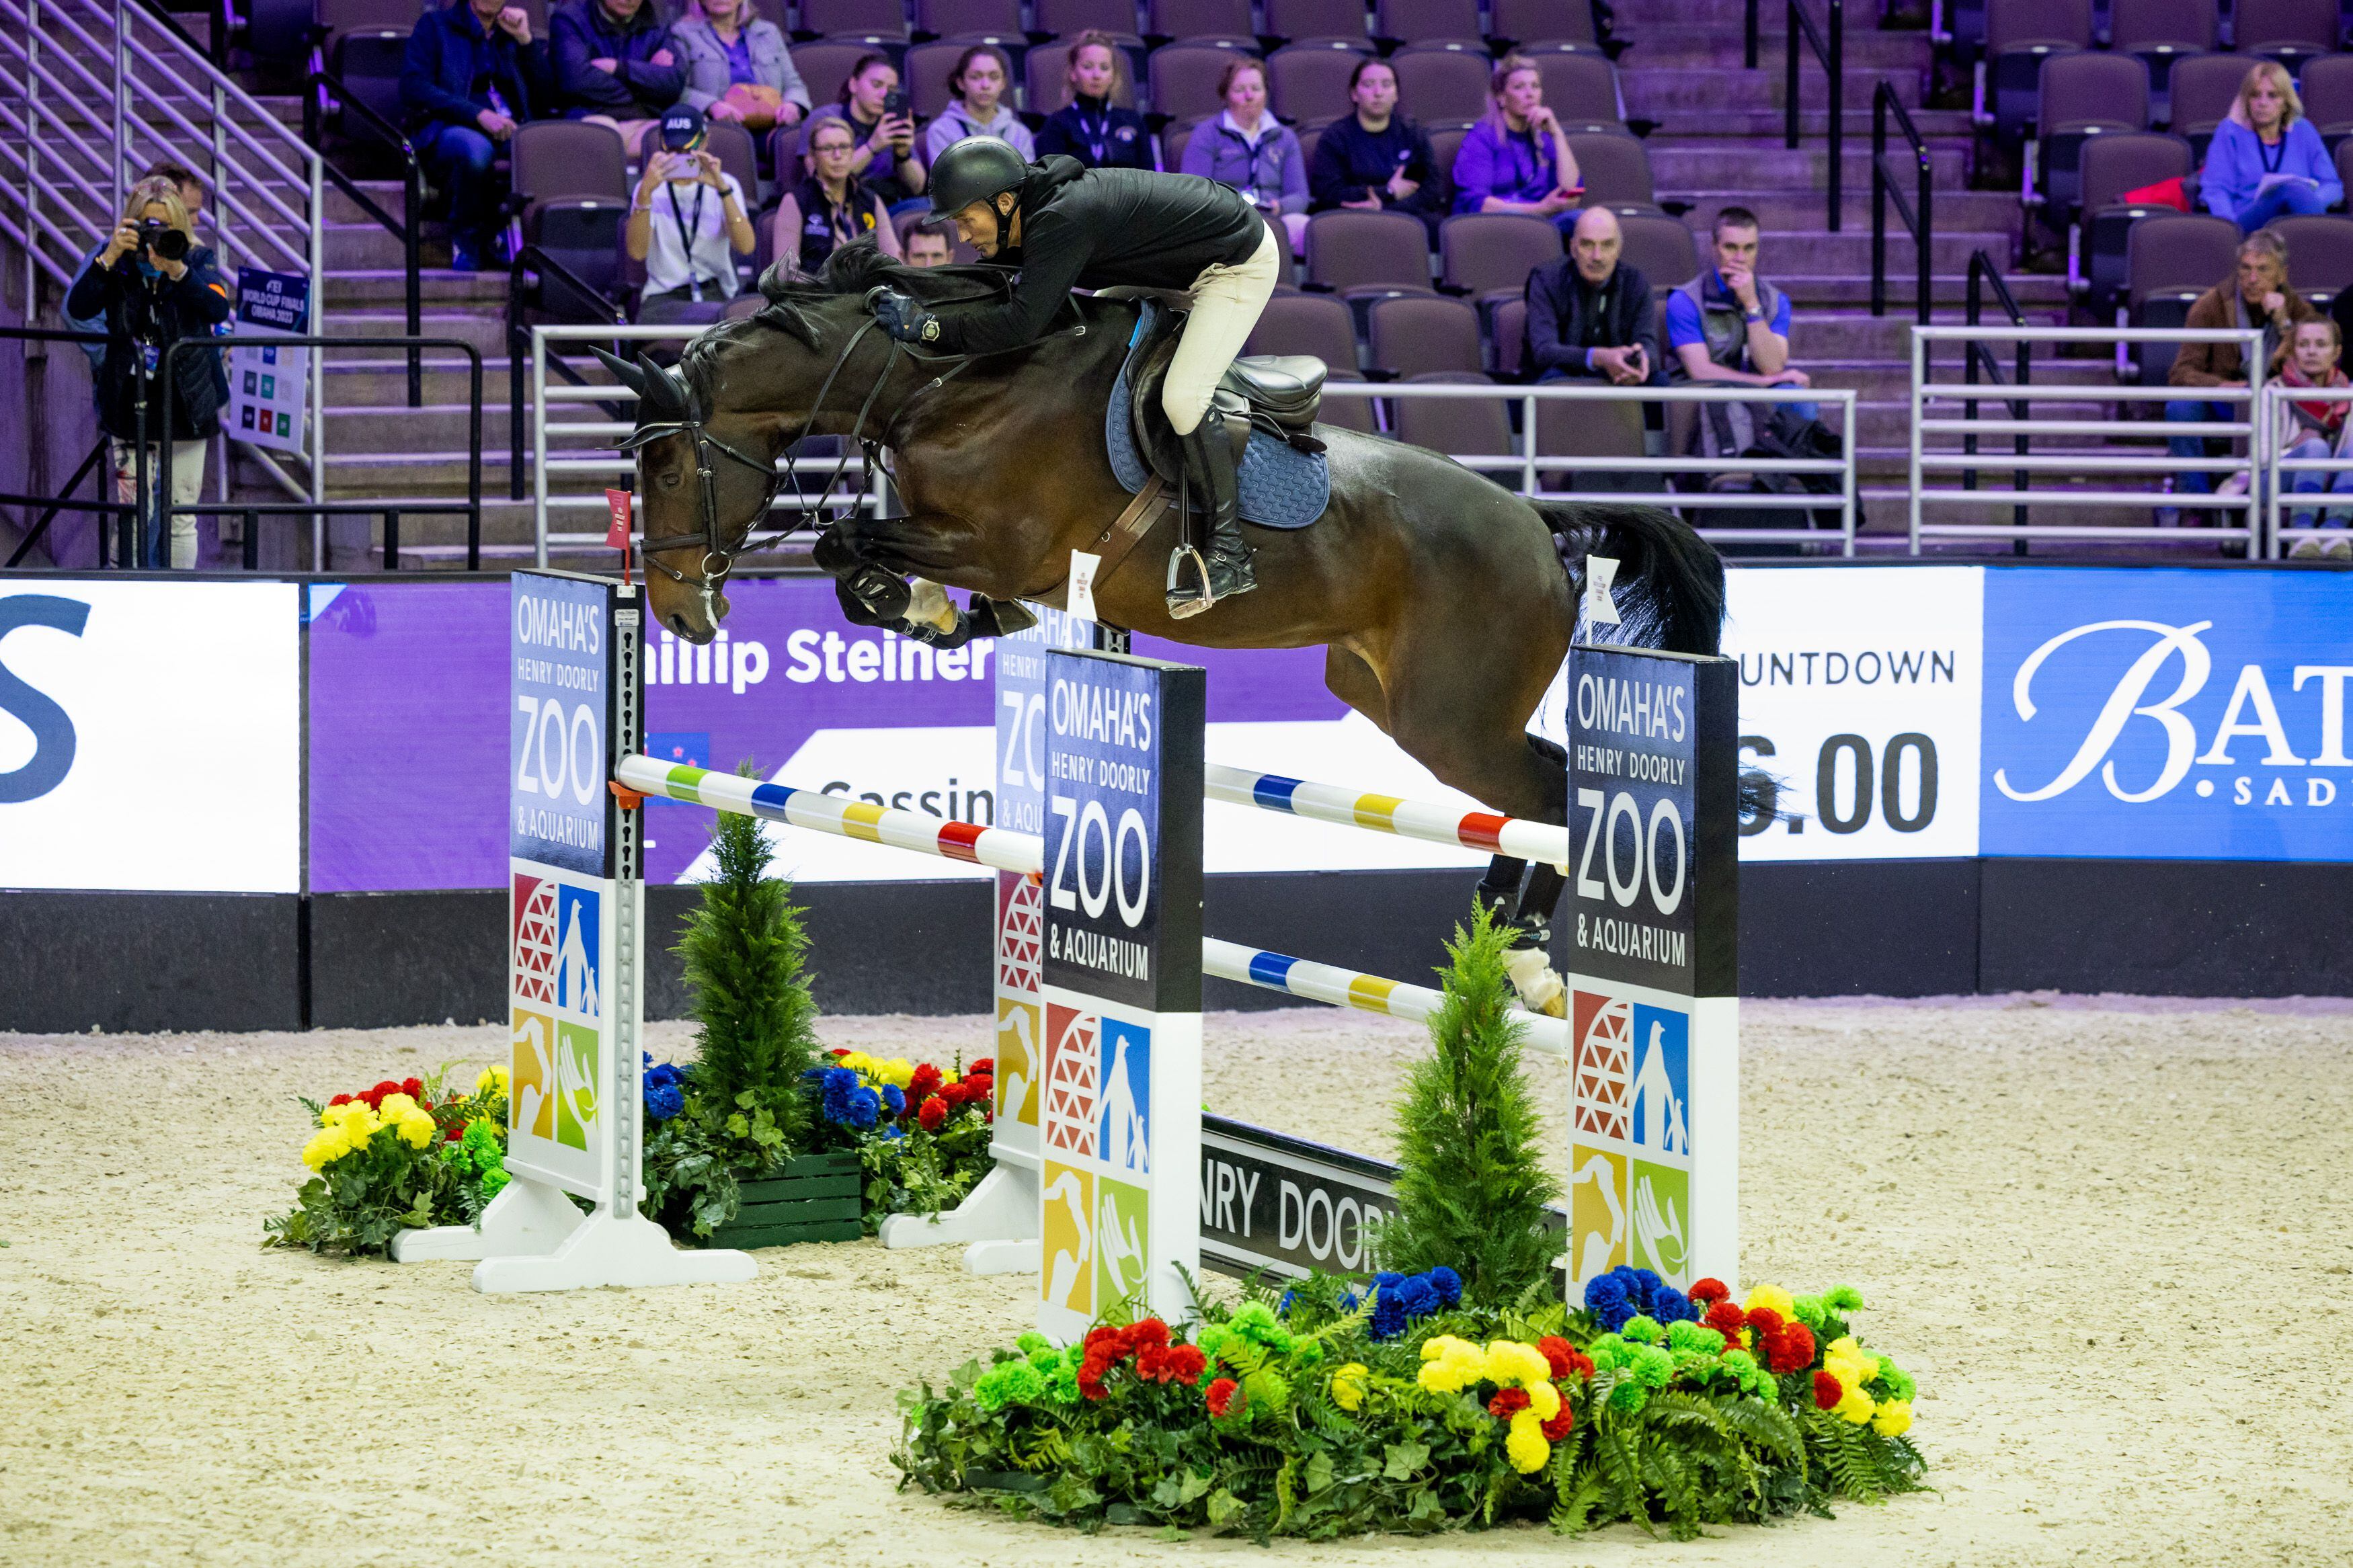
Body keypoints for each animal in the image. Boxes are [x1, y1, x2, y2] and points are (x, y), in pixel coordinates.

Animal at [598, 239, 1722, 1011]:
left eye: (666, 462)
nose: (678, 611)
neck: (943, 382)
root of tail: (1540, 523)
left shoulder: (1006, 544)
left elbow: (849, 545)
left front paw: (917, 603)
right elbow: (860, 561)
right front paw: (936, 616)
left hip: (1456, 720)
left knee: (1550, 795)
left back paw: (1526, 959)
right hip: (1401, 702)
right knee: (1538, 789)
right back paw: (1498, 944)